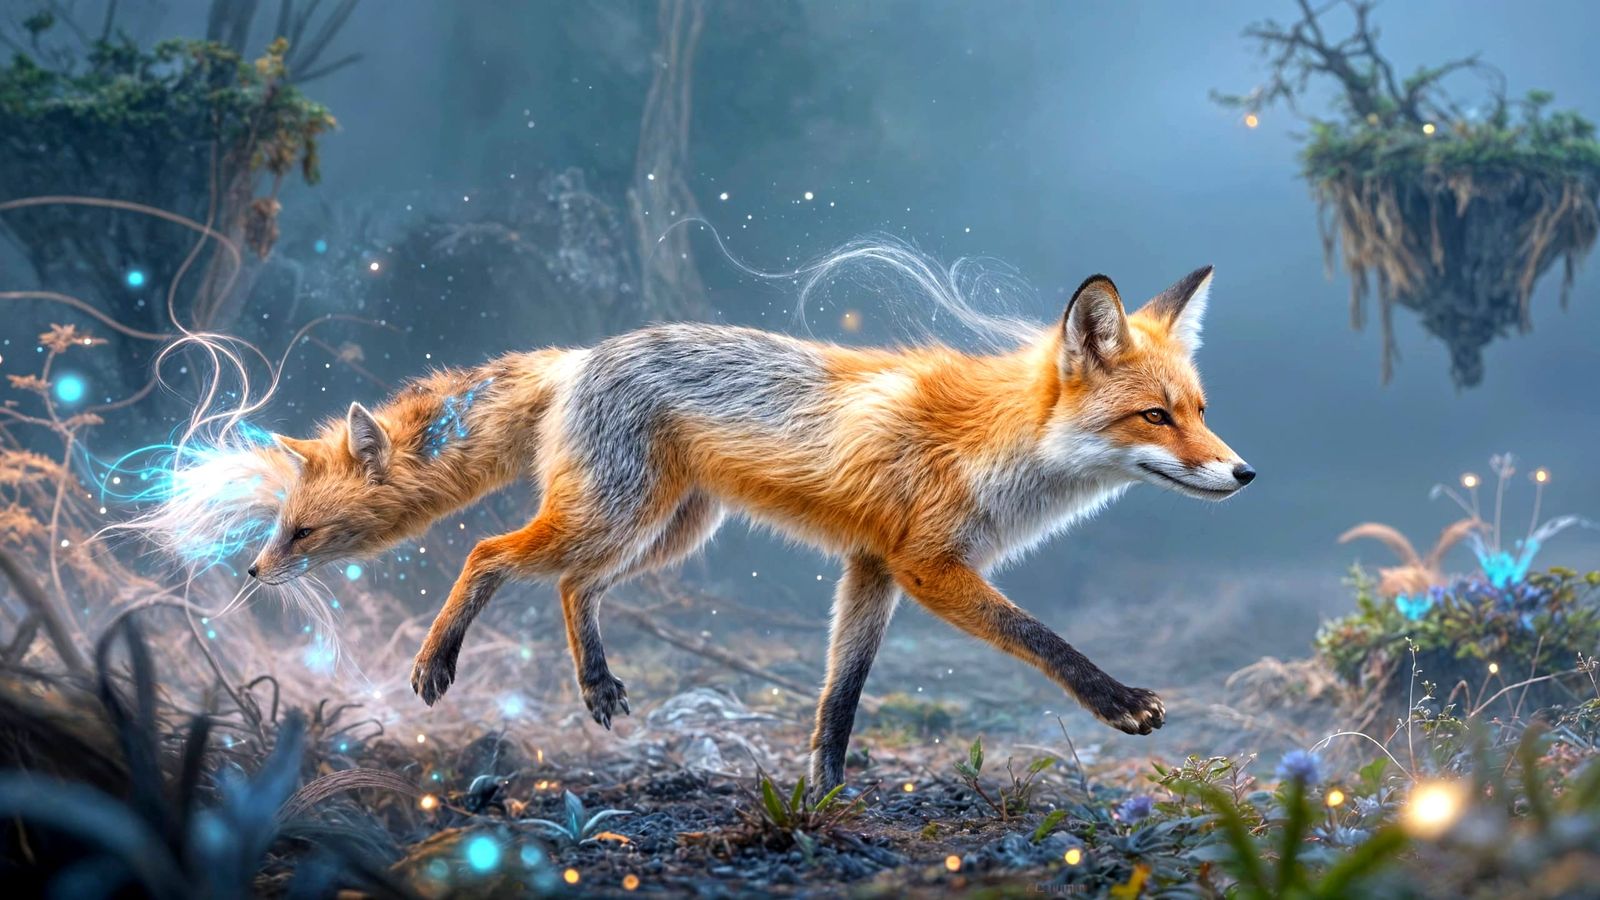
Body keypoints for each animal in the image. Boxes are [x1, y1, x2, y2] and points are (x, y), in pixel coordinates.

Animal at [245, 264, 1252, 792]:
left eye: (1200, 411)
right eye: (1155, 417)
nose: (1243, 474)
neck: (998, 443)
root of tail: (580, 356)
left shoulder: (871, 567)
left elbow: (840, 695)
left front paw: (828, 792)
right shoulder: (926, 565)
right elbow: (1040, 637)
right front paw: (1118, 701)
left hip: (664, 532)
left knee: (571, 584)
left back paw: (597, 684)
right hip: (617, 519)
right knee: (489, 552)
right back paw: (437, 662)